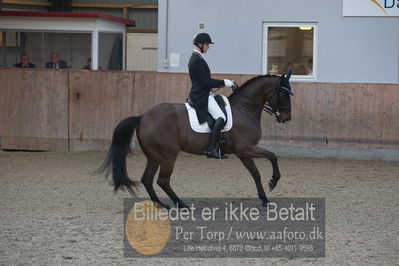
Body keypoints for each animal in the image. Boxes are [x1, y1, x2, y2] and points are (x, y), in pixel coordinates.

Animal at [100, 71, 294, 209]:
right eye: (284, 94)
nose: (286, 118)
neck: (244, 110)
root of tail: (142, 117)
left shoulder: (244, 153)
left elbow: (255, 173)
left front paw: (265, 199)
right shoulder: (246, 148)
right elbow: (273, 156)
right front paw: (273, 181)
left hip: (154, 156)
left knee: (147, 179)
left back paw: (161, 205)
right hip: (168, 155)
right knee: (162, 180)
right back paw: (181, 205)